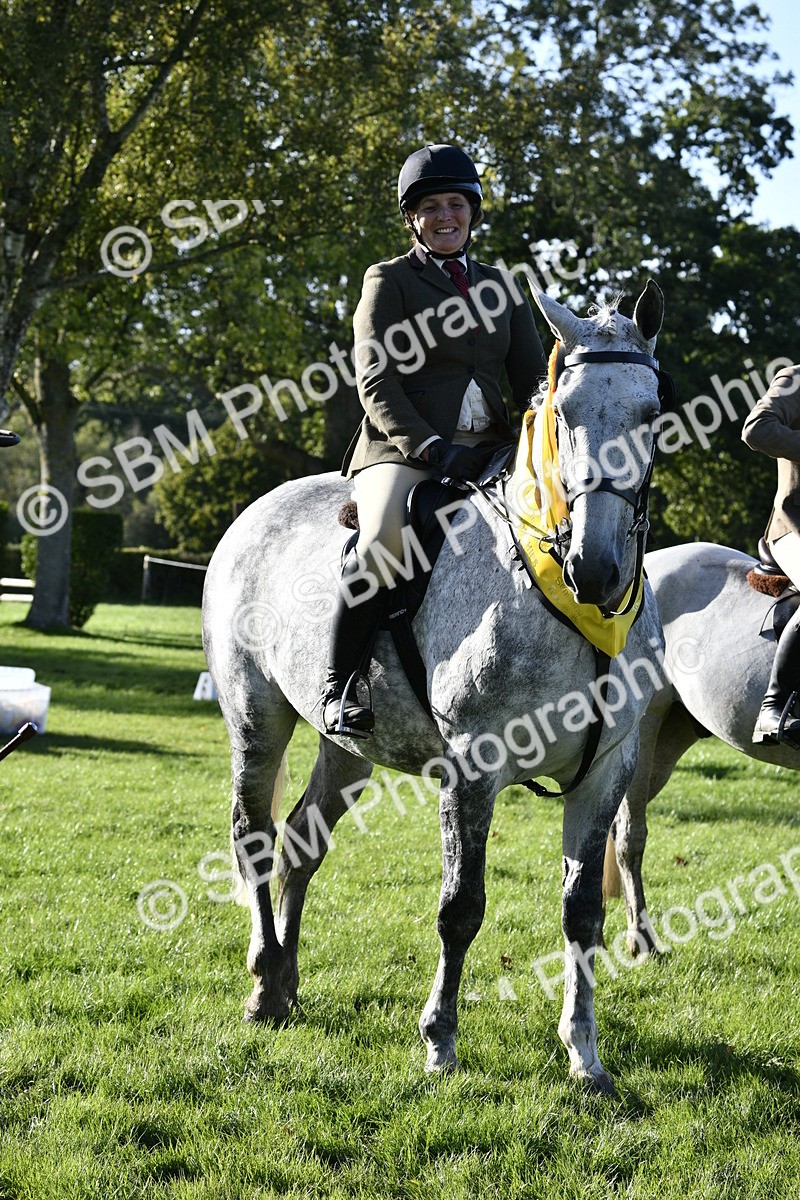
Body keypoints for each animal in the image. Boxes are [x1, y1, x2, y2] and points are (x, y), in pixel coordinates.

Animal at [201, 280, 667, 1094]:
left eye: (650, 412)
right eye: (564, 411)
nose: (599, 569)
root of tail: (256, 512)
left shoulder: (604, 770)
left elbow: (582, 913)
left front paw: (585, 1056)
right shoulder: (474, 769)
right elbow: (461, 909)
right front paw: (440, 1042)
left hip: (347, 747)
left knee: (299, 843)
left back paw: (285, 982)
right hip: (256, 718)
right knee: (253, 835)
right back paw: (262, 983)